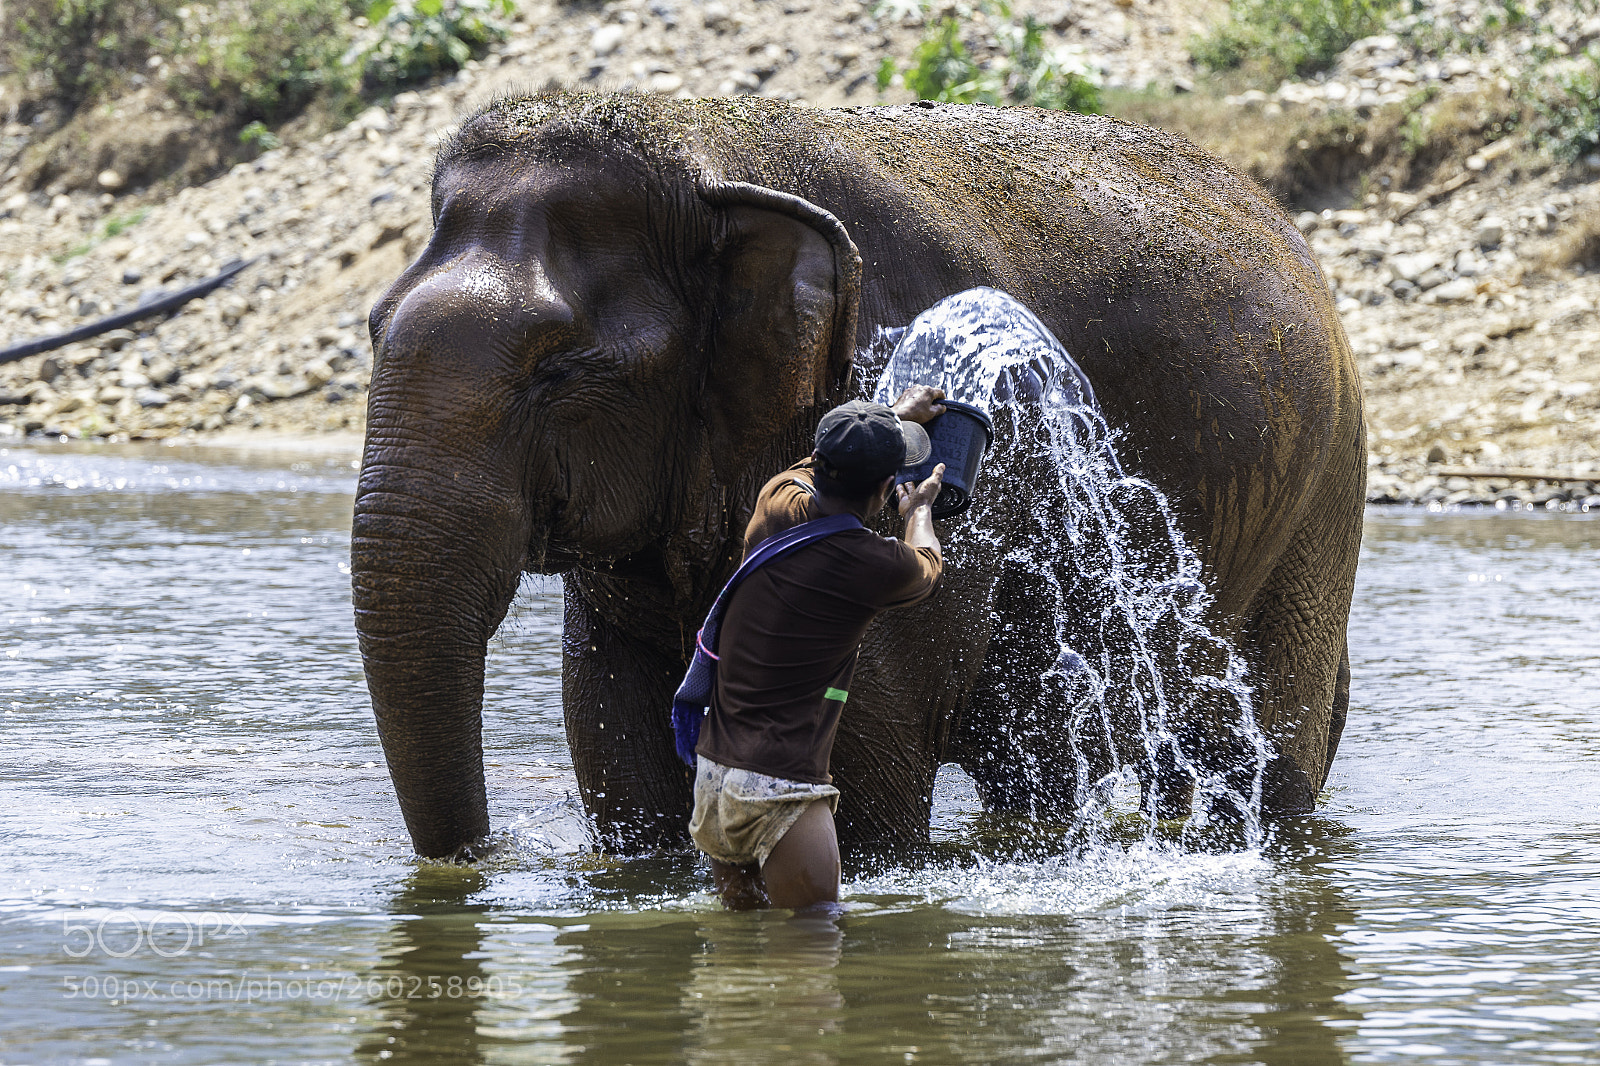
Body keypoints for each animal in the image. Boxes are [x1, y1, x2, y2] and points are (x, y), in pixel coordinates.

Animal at [352, 91, 1366, 860]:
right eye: (372, 327)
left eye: (558, 369)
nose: (480, 862)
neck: (705, 157)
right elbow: (620, 762)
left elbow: (865, 786)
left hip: (1323, 494)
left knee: (1270, 748)